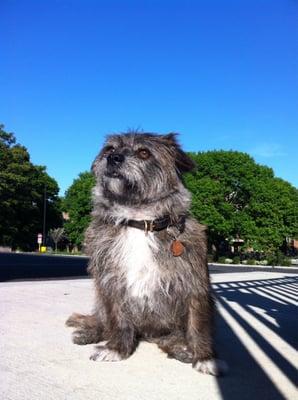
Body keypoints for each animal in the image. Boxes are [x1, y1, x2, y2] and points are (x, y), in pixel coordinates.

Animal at [66, 131, 226, 376]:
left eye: (144, 152)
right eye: (110, 149)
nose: (113, 158)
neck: (140, 221)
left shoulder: (194, 285)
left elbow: (197, 324)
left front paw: (205, 357)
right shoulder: (112, 284)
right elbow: (116, 319)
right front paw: (116, 349)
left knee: (173, 338)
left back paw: (181, 349)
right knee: (101, 320)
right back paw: (90, 333)